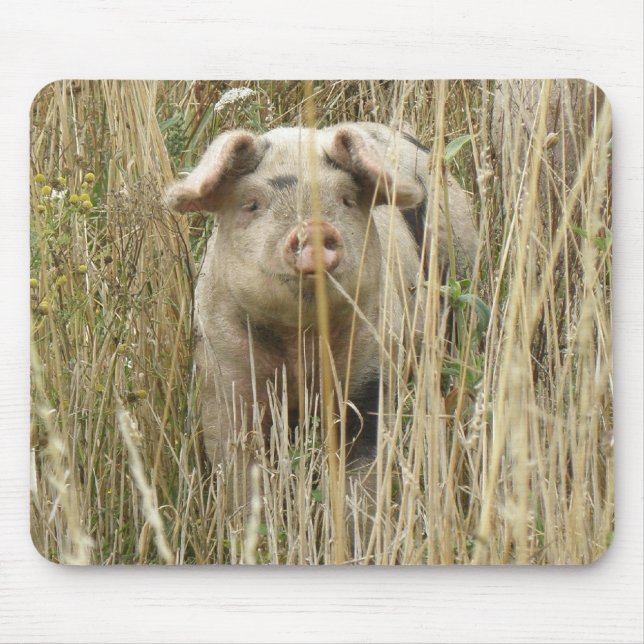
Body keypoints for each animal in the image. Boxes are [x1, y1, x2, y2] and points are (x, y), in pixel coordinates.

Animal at [166, 122, 477, 517]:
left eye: (346, 199)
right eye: (252, 204)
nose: (313, 228)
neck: (298, 342)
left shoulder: (372, 372)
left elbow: (362, 476)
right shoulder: (223, 377)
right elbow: (239, 469)